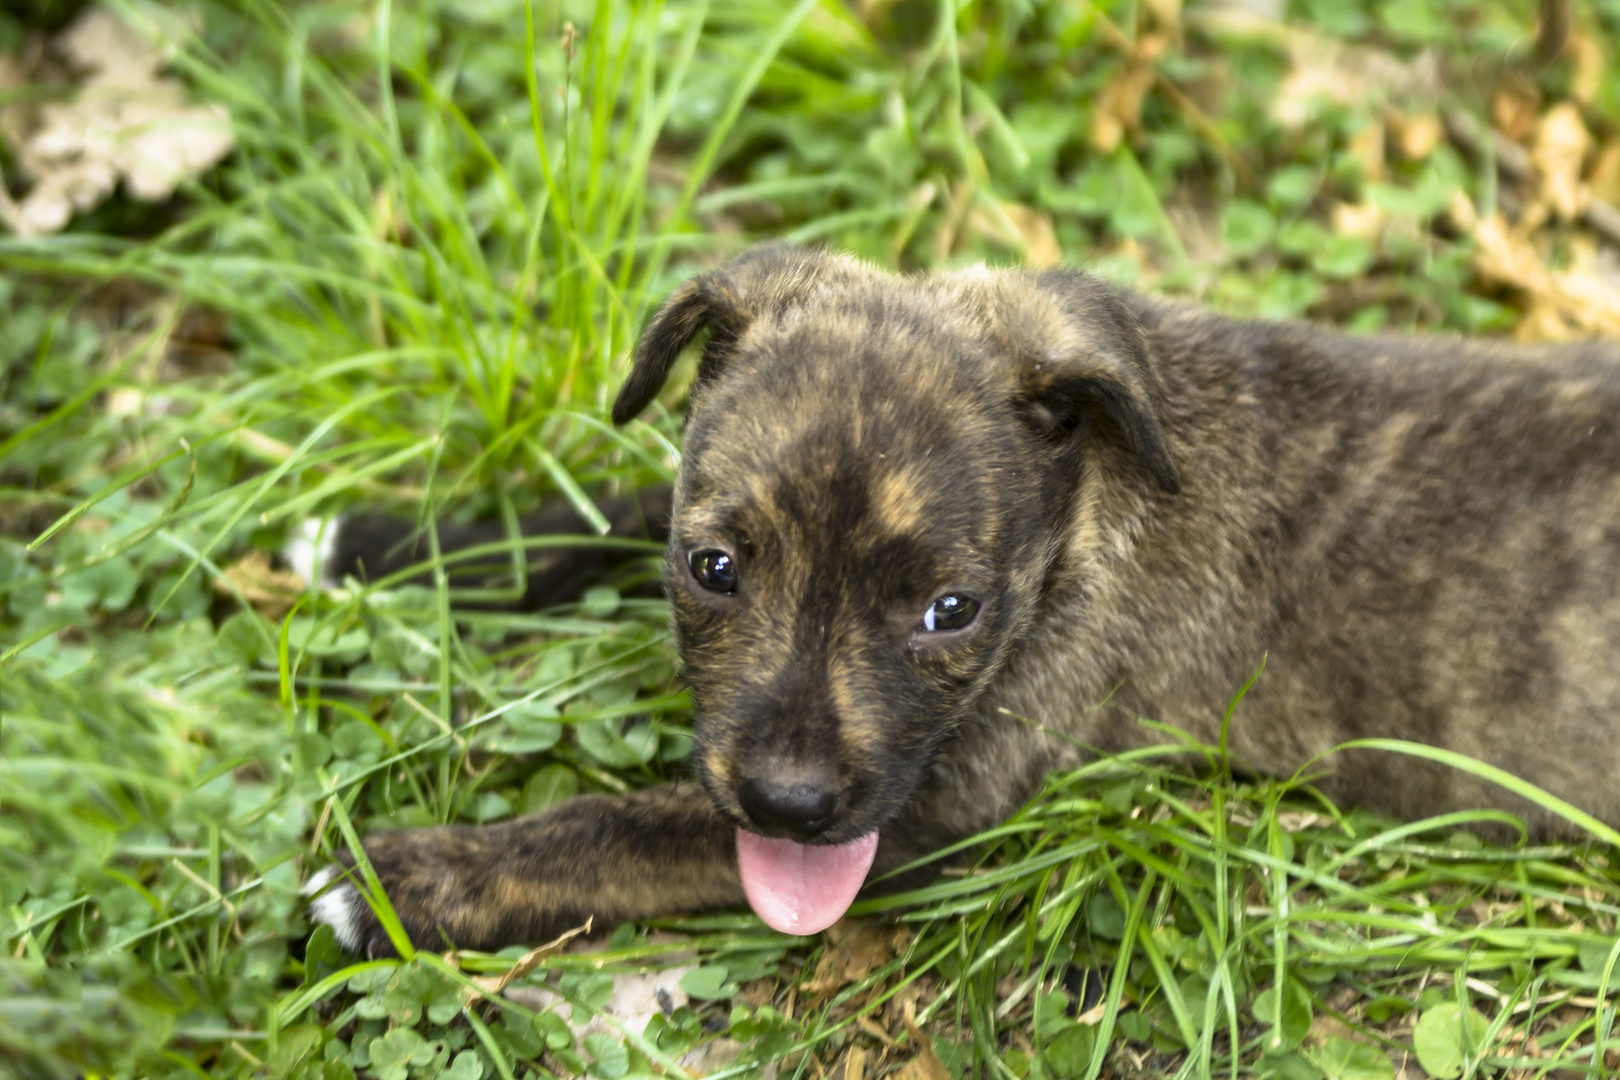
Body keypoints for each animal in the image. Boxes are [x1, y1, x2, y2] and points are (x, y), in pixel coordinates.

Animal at [306, 242, 1620, 952]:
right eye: (713, 569)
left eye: (953, 613)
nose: (787, 805)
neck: (1088, 499)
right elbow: (609, 513)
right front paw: (390, 543)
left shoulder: (937, 807)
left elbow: (625, 829)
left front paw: (407, 881)